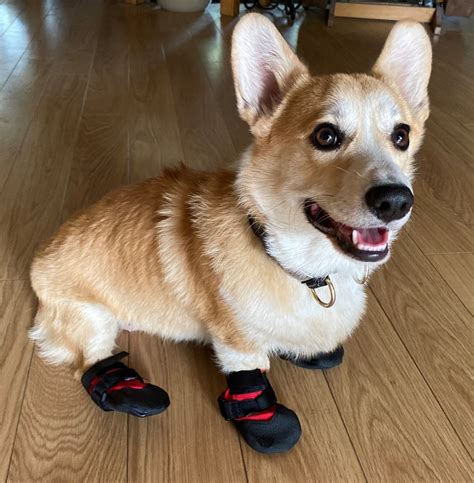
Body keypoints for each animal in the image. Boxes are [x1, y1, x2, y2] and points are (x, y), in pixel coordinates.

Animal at [28, 14, 430, 454]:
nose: (396, 201)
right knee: (90, 362)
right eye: (326, 136)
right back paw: (133, 391)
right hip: (90, 318)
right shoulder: (235, 339)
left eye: (402, 136)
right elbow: (249, 371)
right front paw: (266, 420)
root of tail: (38, 260)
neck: (298, 266)